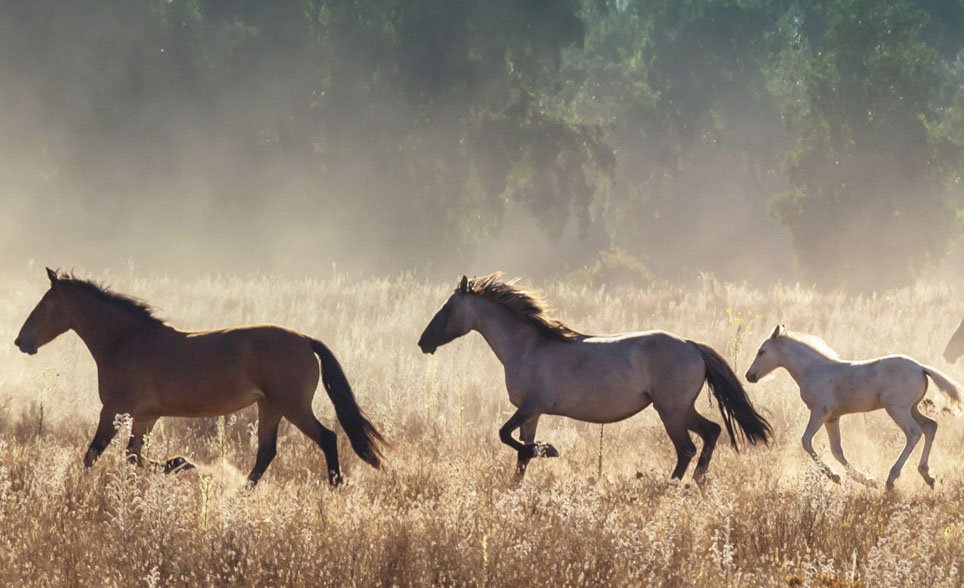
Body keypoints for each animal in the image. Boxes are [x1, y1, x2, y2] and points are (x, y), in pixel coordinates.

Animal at [14, 268, 384, 484]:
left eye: (45, 304)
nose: (21, 341)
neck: (124, 341)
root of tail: (305, 340)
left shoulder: (114, 411)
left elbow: (93, 455)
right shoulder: (145, 416)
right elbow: (133, 457)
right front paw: (180, 464)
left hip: (293, 406)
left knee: (327, 438)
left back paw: (333, 486)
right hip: (270, 407)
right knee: (266, 453)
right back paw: (242, 494)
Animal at [414, 274, 768, 482]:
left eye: (446, 308)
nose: (423, 342)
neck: (527, 346)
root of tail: (692, 346)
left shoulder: (530, 406)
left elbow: (505, 436)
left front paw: (549, 450)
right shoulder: (532, 414)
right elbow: (520, 454)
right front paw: (520, 482)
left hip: (671, 411)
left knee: (687, 448)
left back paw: (672, 486)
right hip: (681, 409)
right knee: (711, 432)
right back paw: (697, 482)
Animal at [744, 324, 956, 490]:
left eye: (761, 351)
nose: (749, 376)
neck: (812, 370)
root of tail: (920, 368)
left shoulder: (820, 411)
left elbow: (806, 441)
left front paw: (834, 476)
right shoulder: (832, 417)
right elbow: (837, 450)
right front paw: (866, 480)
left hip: (897, 408)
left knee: (914, 433)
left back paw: (892, 478)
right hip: (912, 408)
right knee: (930, 426)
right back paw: (927, 475)